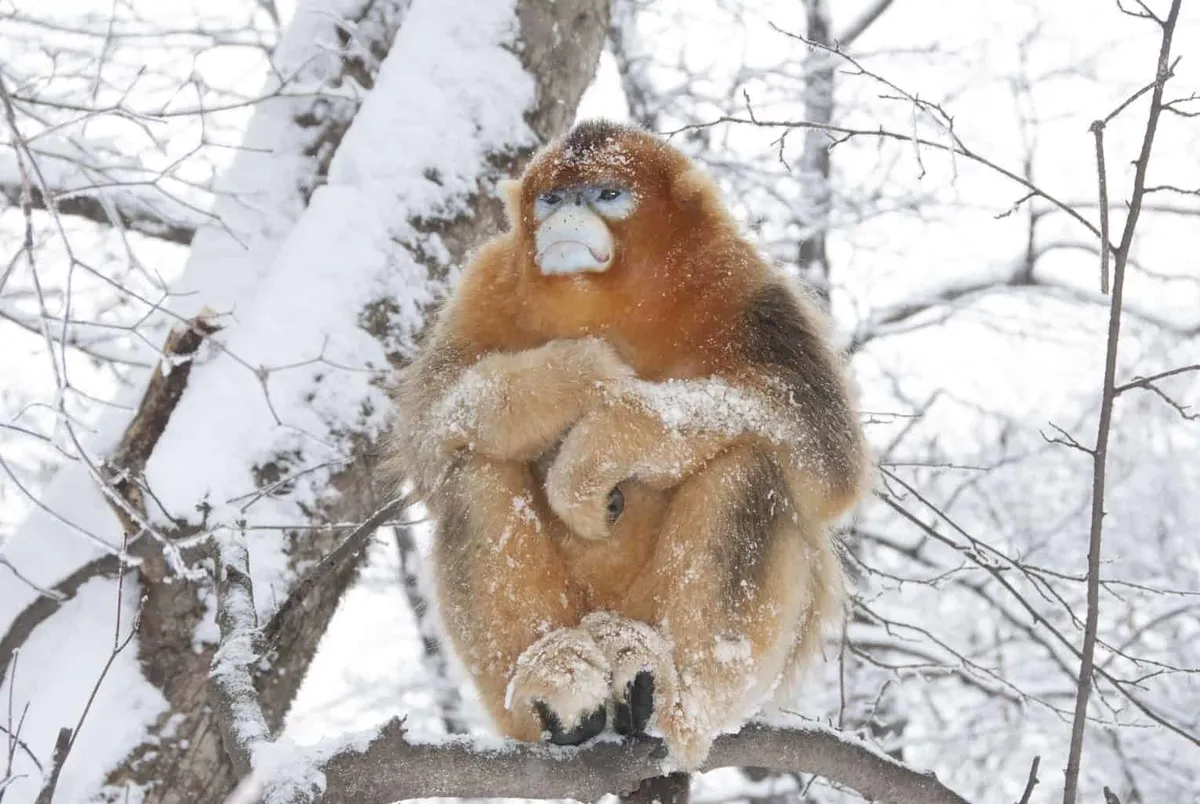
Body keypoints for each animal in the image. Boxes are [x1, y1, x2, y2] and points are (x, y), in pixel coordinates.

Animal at [387, 120, 869, 768]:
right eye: (553, 198)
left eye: (607, 194)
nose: (565, 216)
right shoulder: (482, 285)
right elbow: (429, 428)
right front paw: (576, 375)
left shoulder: (752, 290)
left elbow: (824, 453)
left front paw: (594, 451)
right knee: (472, 466)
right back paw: (556, 681)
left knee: (755, 468)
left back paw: (671, 698)